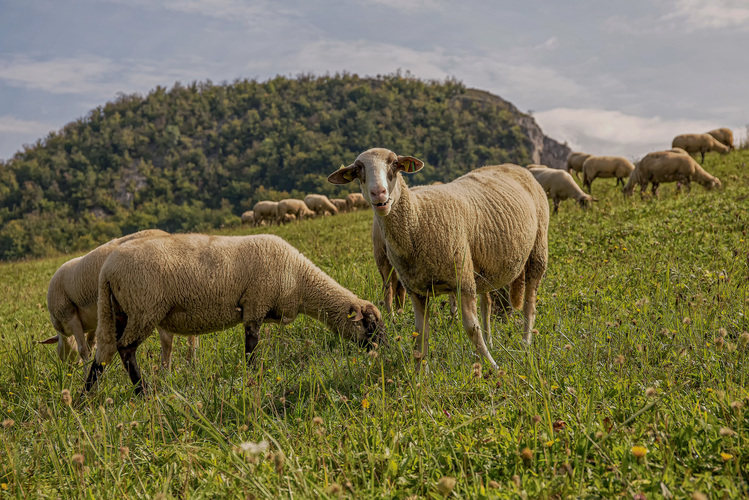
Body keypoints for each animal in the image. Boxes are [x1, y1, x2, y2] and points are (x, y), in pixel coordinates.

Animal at [41, 229, 196, 368]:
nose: (69, 368)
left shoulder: (70, 314)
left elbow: (83, 350)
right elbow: (91, 345)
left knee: (167, 338)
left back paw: (165, 371)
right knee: (192, 336)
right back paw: (191, 365)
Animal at [84, 233, 382, 394]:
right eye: (369, 325)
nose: (383, 350)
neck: (300, 280)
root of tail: (107, 271)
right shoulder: (255, 303)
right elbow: (251, 346)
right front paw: (251, 378)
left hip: (117, 311)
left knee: (103, 353)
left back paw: (85, 396)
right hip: (143, 308)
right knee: (126, 350)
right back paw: (142, 392)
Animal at [324, 146, 548, 370]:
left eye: (394, 164)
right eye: (358, 170)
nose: (379, 193)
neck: (417, 217)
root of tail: (511, 166)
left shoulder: (463, 282)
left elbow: (471, 328)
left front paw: (493, 366)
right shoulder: (416, 291)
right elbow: (421, 334)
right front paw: (420, 373)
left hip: (538, 249)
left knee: (529, 303)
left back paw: (525, 342)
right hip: (483, 266)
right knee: (487, 303)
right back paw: (491, 341)